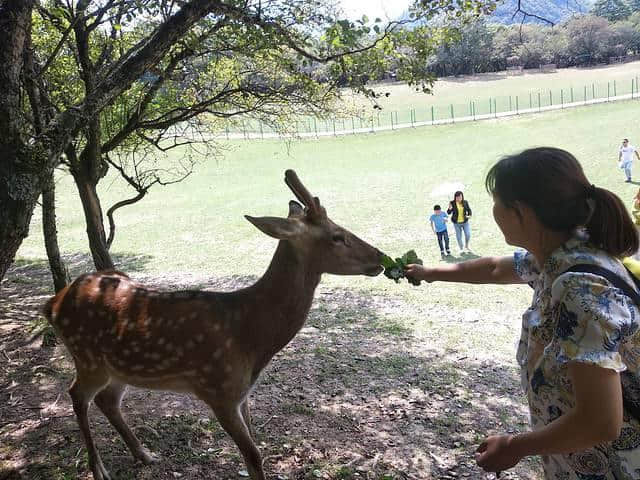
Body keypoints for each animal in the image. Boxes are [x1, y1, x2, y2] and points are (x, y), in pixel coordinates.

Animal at [43, 169, 384, 480]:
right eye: (337, 236)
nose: (380, 257)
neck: (250, 333)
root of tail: (53, 303)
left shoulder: (241, 393)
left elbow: (254, 447)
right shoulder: (218, 390)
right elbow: (254, 456)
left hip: (117, 366)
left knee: (107, 400)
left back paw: (143, 453)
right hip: (87, 357)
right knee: (77, 394)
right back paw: (99, 469)